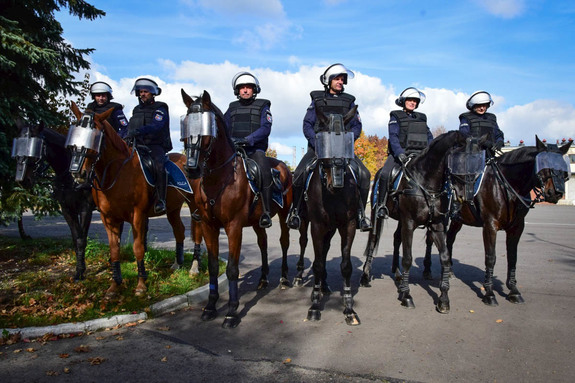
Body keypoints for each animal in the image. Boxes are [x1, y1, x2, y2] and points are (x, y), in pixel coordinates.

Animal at [11, 121, 95, 280]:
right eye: (18, 145)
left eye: (34, 147)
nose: (22, 180)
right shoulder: (67, 209)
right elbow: (76, 239)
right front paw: (79, 270)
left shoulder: (85, 208)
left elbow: (82, 239)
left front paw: (81, 272)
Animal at [68, 103, 204, 296]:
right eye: (75, 134)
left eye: (96, 137)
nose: (78, 173)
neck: (117, 172)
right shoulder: (108, 218)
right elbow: (114, 251)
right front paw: (114, 285)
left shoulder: (137, 215)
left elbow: (138, 248)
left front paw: (141, 285)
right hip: (172, 209)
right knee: (179, 230)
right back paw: (178, 263)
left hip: (194, 206)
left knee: (197, 232)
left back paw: (194, 267)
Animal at [180, 88, 292, 328]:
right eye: (186, 126)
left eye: (206, 128)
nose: (191, 168)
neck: (219, 178)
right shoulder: (209, 226)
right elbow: (214, 267)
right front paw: (210, 307)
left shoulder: (233, 227)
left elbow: (232, 269)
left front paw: (231, 312)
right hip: (258, 222)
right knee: (263, 243)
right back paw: (263, 279)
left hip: (285, 215)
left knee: (284, 243)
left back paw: (284, 278)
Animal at [362, 130, 470, 314]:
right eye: (457, 160)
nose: (463, 195)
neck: (426, 182)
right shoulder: (409, 223)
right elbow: (408, 258)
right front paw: (406, 296)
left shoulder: (436, 226)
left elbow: (444, 257)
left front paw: (443, 299)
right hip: (378, 214)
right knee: (373, 240)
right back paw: (366, 275)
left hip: (401, 221)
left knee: (396, 238)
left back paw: (397, 273)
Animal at [446, 136, 572, 308]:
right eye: (543, 162)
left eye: (563, 166)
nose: (556, 193)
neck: (505, 187)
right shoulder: (490, 226)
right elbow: (490, 258)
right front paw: (489, 293)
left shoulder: (516, 227)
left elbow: (513, 257)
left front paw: (513, 290)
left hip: (457, 220)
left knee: (449, 239)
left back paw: (449, 270)